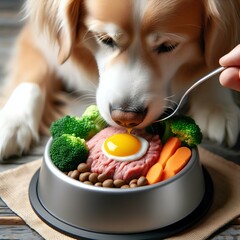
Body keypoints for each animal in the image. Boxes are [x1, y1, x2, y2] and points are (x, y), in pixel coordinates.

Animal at [0, 0, 240, 160]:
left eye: (168, 46)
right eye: (104, 39)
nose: (126, 118)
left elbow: (214, 60)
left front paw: (217, 105)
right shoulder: (36, 37)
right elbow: (31, 77)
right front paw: (13, 119)